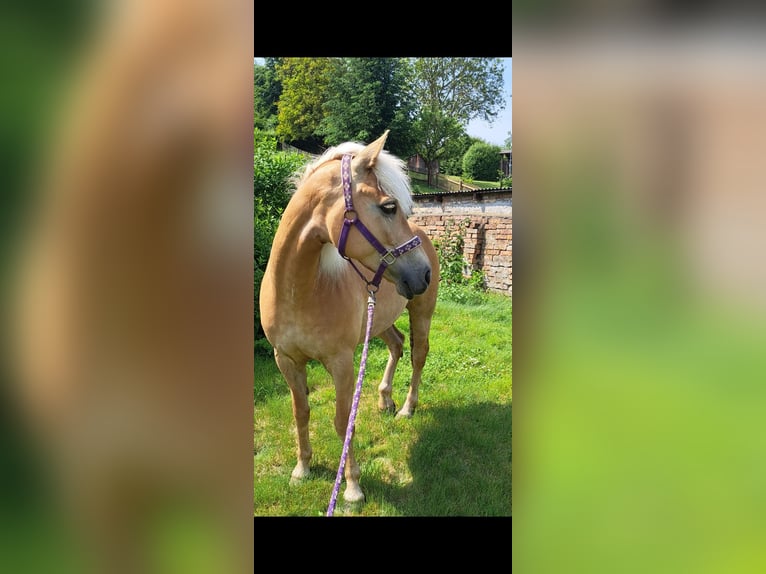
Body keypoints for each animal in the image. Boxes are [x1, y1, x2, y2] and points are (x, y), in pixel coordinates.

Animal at [260, 132, 438, 508]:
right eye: (389, 207)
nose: (424, 273)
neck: (299, 290)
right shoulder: (286, 360)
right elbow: (301, 412)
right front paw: (302, 468)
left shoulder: (341, 363)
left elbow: (344, 421)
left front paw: (352, 486)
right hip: (380, 322)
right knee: (397, 345)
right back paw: (385, 399)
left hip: (421, 312)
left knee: (418, 356)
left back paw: (406, 409)